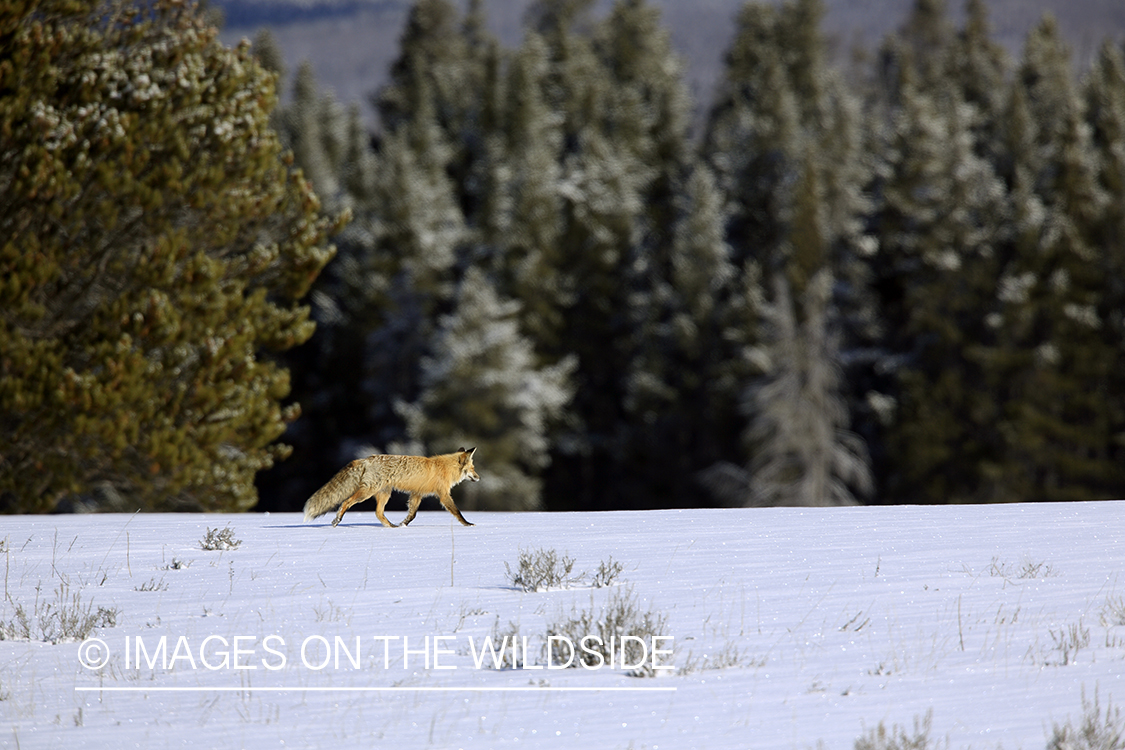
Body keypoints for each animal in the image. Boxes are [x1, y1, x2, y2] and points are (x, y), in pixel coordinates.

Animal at [303, 445, 479, 528]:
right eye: (472, 468)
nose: (478, 477)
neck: (445, 468)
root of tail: (366, 459)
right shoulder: (443, 495)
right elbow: (457, 511)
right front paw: (467, 524)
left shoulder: (417, 494)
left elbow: (412, 515)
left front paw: (402, 525)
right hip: (367, 492)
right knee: (346, 502)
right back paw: (337, 520)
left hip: (384, 494)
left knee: (378, 513)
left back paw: (391, 526)